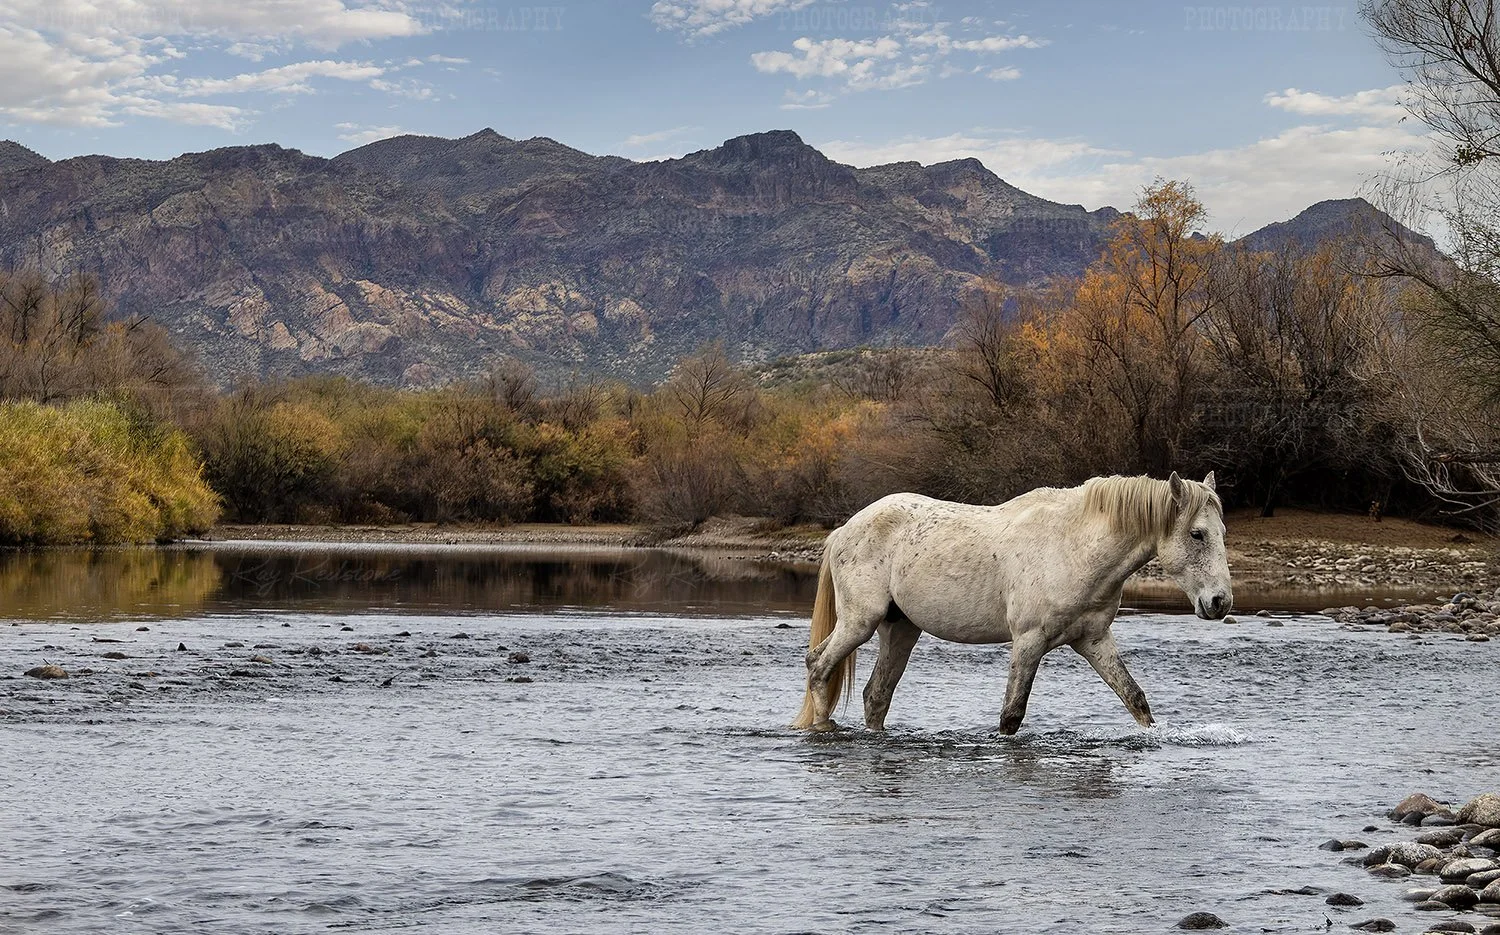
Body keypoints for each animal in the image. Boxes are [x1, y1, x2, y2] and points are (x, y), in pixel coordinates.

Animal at [791, 472, 1230, 733]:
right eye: (1197, 534)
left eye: (1222, 531)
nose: (1220, 602)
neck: (1073, 546)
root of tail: (845, 529)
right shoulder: (1028, 642)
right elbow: (1011, 716)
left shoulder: (1094, 640)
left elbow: (1136, 700)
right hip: (860, 622)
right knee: (819, 667)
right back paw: (821, 728)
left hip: (901, 629)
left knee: (876, 695)